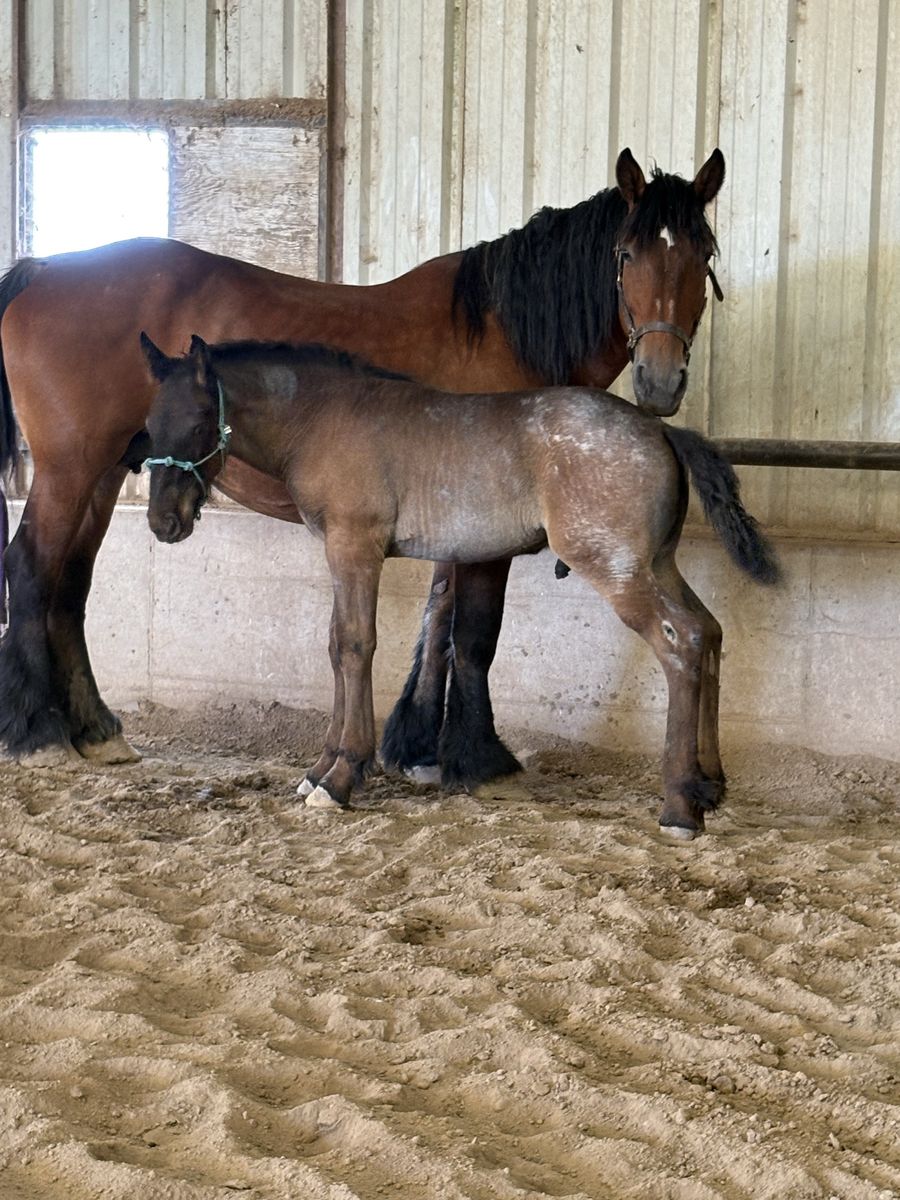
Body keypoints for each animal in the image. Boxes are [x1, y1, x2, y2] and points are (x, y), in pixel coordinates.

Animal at [0, 148, 725, 784]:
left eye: (705, 254)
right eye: (627, 253)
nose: (661, 380)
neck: (500, 328)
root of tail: (43, 270)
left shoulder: (456, 520)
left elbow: (438, 622)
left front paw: (419, 748)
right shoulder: (481, 535)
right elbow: (474, 635)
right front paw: (477, 759)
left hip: (103, 476)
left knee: (70, 586)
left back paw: (97, 732)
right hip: (70, 471)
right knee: (31, 569)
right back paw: (41, 736)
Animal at [141, 333, 779, 840]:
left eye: (197, 423)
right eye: (147, 426)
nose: (163, 522)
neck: (323, 418)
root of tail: (662, 431)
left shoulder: (355, 547)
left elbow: (354, 646)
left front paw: (341, 776)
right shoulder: (342, 553)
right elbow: (335, 645)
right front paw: (318, 770)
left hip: (615, 567)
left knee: (681, 642)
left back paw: (679, 807)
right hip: (655, 563)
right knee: (709, 632)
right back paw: (709, 785)